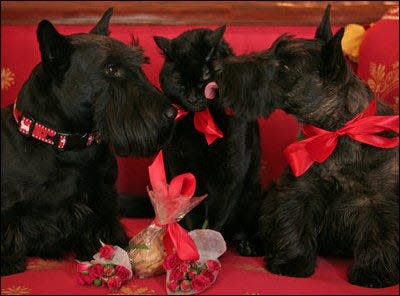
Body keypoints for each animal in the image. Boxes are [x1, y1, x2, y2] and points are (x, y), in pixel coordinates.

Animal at [1, 7, 177, 276]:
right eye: (111, 69)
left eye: (139, 64)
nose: (172, 114)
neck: (67, 145)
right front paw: (8, 260)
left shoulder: (103, 199)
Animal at [152, 26, 262, 256]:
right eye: (179, 82)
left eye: (205, 78)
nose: (193, 97)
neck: (201, 124)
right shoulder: (183, 168)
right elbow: (191, 211)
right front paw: (192, 241)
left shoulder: (232, 171)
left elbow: (218, 213)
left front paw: (208, 244)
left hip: (252, 194)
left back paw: (246, 243)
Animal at [212, 4, 396, 286]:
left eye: (285, 65)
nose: (218, 68)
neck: (334, 131)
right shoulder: (298, 191)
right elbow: (293, 226)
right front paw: (292, 262)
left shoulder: (379, 201)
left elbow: (379, 237)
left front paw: (373, 272)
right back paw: (250, 243)